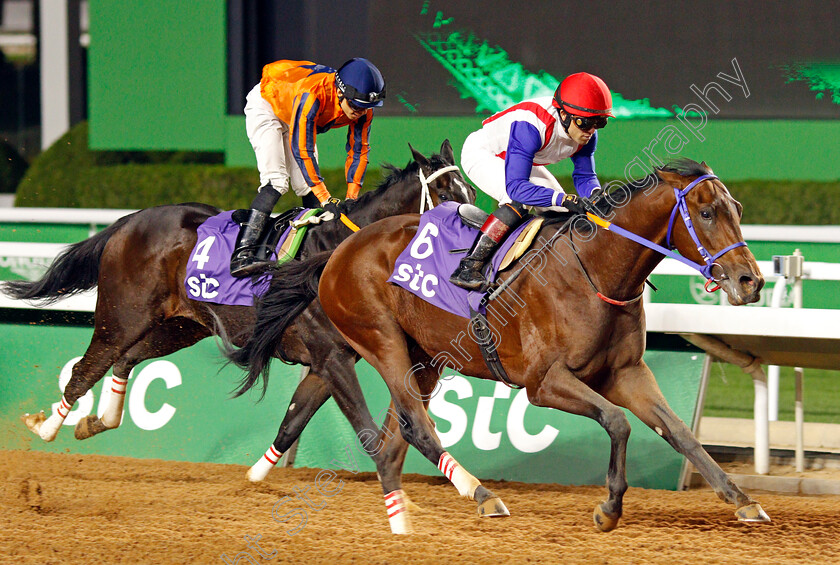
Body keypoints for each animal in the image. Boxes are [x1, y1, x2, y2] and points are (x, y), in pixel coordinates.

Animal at [6, 141, 476, 454]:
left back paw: (96, 420)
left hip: (181, 326)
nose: (479, 244)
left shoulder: (331, 358)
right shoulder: (328, 353)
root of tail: (129, 221)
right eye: (448, 197)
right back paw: (46, 427)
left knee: (125, 360)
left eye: (471, 193)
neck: (337, 250)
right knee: (87, 368)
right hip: (121, 315)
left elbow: (295, 422)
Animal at [235, 156, 768, 532]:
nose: (751, 282)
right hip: (380, 340)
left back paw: (400, 509)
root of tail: (337, 252)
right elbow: (617, 423)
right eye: (706, 212)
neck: (595, 269)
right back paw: (480, 495)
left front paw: (742, 501)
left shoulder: (627, 373)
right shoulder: (545, 383)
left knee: (395, 435)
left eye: (738, 210)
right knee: (415, 425)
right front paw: (610, 506)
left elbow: (679, 432)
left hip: (425, 356)